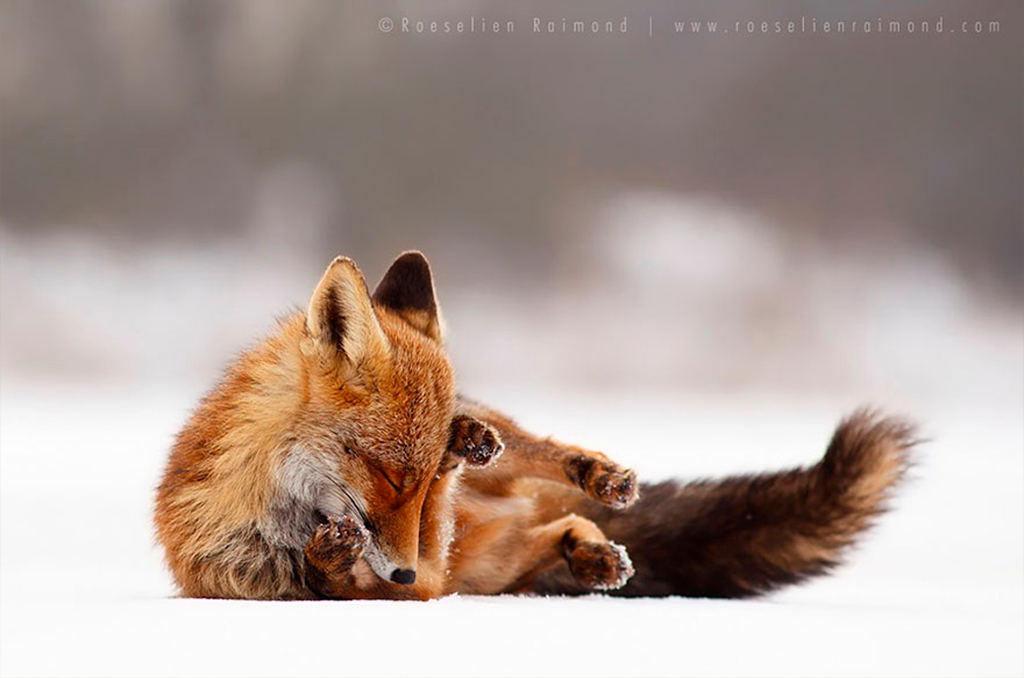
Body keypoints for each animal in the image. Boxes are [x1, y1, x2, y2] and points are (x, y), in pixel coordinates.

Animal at [154, 251, 917, 600]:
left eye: (410, 482)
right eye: (390, 476)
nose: (400, 569)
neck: (280, 507)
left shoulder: (427, 568)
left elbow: (442, 505)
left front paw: (457, 448)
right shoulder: (402, 585)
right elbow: (337, 577)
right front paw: (332, 557)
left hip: (502, 487)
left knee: (539, 458)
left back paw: (571, 471)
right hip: (487, 571)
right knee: (552, 528)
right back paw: (587, 552)